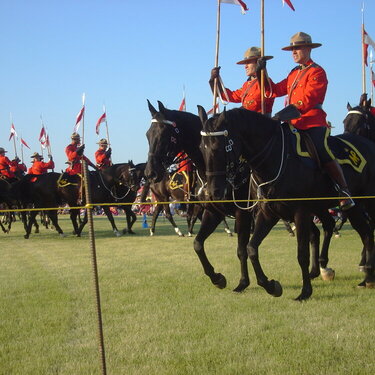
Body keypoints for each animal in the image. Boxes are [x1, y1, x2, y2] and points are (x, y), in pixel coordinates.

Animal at [201, 107, 375, 302]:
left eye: (218, 147)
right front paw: (270, 286)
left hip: (365, 202)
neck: (275, 158)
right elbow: (251, 248)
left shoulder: (300, 212)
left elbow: (302, 253)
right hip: (351, 207)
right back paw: (365, 277)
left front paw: (305, 292)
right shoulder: (267, 214)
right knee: (365, 233)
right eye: (201, 148)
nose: (214, 192)